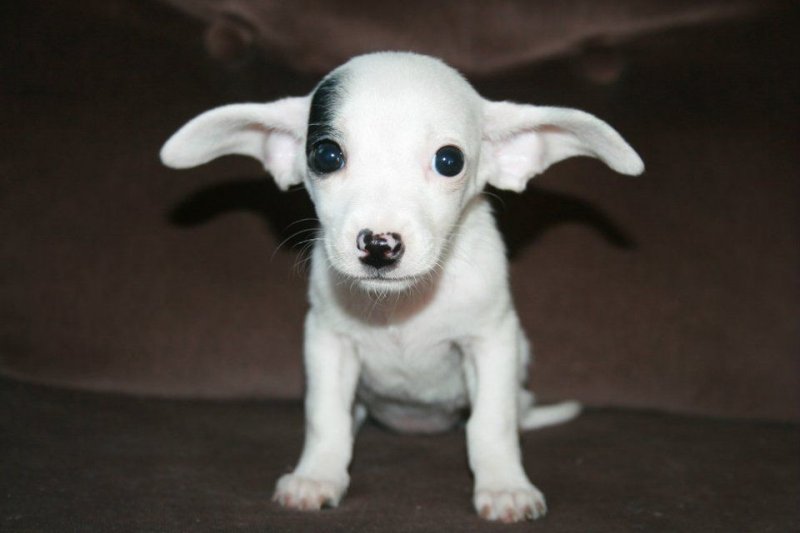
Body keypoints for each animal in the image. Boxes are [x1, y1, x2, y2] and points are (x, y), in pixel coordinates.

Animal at [160, 51, 643, 523]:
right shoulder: (329, 342)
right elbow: (325, 417)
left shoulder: (493, 342)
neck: (403, 306)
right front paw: (317, 474)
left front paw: (505, 486)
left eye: (449, 161)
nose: (379, 244)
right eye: (326, 156)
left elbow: (491, 423)